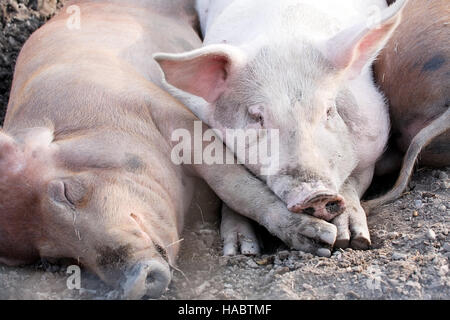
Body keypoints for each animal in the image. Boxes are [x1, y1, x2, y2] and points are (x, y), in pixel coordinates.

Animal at [0, 0, 338, 300]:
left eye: (67, 192)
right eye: (54, 258)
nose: (132, 285)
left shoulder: (166, 111)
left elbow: (234, 186)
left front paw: (322, 238)